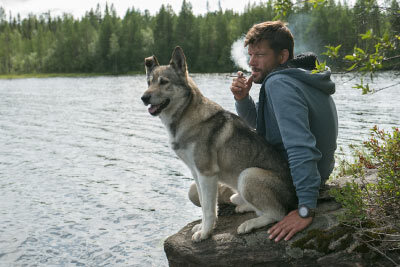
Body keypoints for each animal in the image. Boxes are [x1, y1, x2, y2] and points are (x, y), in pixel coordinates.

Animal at [141, 46, 296, 243]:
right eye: (149, 83)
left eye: (164, 82)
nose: (144, 97)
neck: (184, 117)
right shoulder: (196, 173)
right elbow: (206, 205)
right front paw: (203, 227)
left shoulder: (207, 173)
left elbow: (208, 209)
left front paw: (205, 233)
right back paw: (244, 207)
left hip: (248, 175)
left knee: (278, 214)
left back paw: (249, 224)